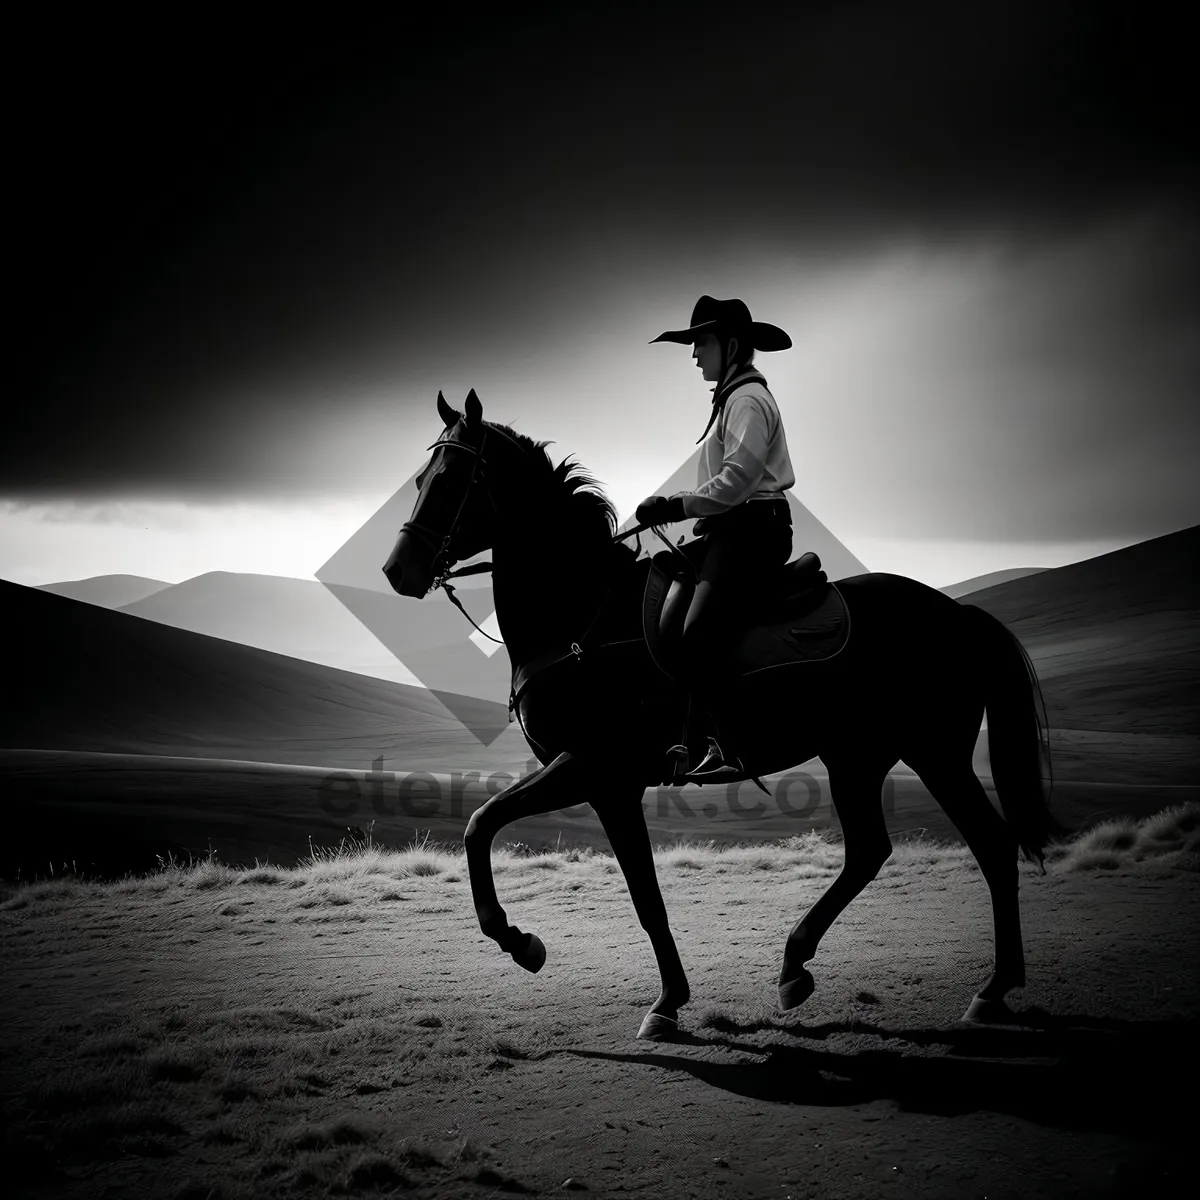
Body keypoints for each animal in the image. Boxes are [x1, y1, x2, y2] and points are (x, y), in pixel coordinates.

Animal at [381, 391, 1060, 1041]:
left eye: (452, 477)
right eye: (419, 478)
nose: (398, 570)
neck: (583, 618)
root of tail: (957, 614)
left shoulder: (594, 769)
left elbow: (485, 826)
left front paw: (525, 944)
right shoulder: (609, 787)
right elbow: (637, 890)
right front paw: (665, 1001)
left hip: (932, 752)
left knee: (988, 845)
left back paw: (989, 990)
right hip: (858, 756)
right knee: (876, 850)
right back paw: (799, 968)